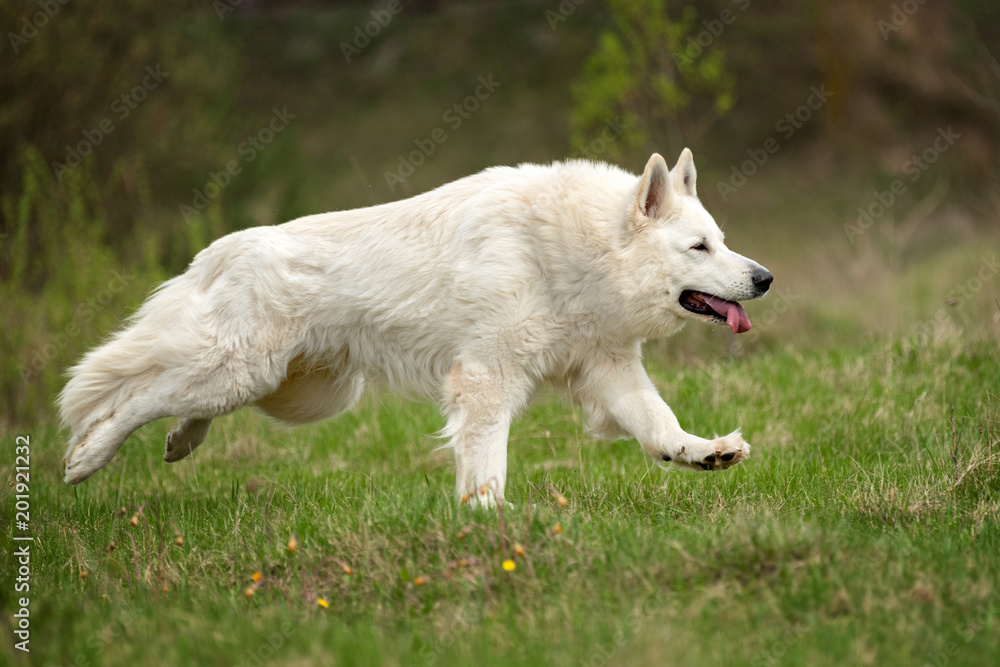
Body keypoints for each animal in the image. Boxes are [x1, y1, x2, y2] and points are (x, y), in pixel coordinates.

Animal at [60, 150, 772, 506]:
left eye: (722, 241)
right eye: (699, 248)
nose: (764, 278)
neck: (574, 252)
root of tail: (223, 247)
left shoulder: (610, 372)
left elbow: (661, 425)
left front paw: (704, 453)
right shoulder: (486, 380)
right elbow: (487, 461)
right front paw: (489, 520)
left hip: (297, 392)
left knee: (178, 405)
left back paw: (181, 443)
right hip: (238, 372)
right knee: (135, 396)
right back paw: (85, 458)